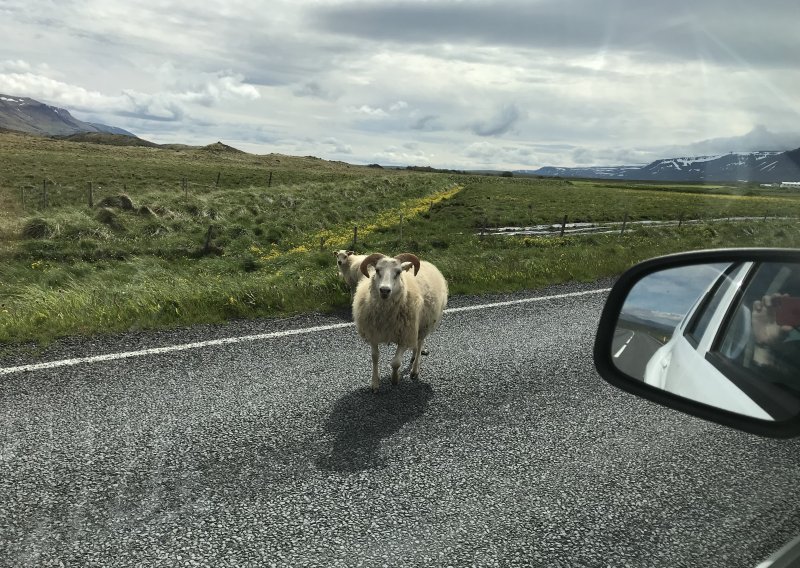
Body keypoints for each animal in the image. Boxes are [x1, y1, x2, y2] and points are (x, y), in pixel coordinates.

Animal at [352, 252, 446, 390]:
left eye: (398, 272)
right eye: (377, 270)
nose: (384, 290)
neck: (386, 314)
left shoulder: (405, 336)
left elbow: (395, 363)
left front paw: (395, 379)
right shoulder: (373, 334)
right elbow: (375, 357)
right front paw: (375, 383)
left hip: (424, 325)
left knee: (419, 344)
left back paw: (414, 370)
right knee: (416, 344)